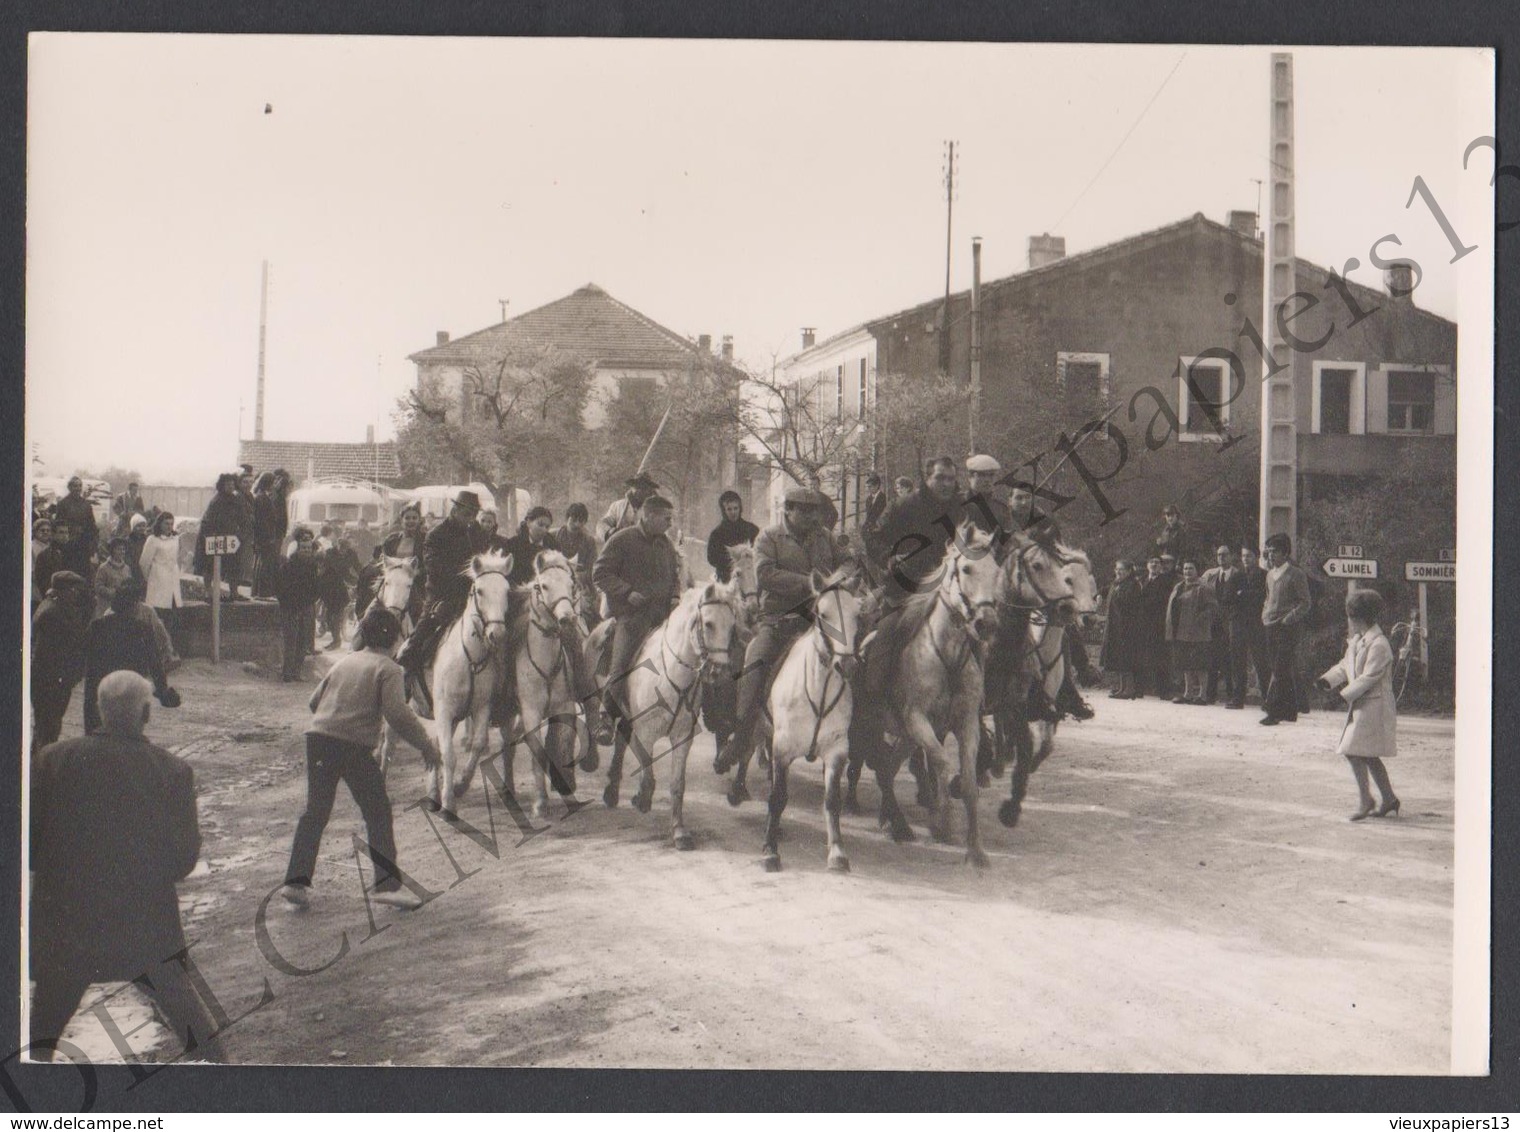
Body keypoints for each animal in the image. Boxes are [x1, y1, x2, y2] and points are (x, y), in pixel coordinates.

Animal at [419, 553, 513, 814]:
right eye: (479, 591)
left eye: (507, 591)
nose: (497, 635)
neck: (468, 657)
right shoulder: (443, 710)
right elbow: (448, 754)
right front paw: (448, 802)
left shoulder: (481, 708)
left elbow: (478, 744)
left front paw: (461, 784)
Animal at [504, 553, 586, 814]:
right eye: (543, 586)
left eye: (571, 585)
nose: (568, 618)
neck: (546, 664)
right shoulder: (531, 712)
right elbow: (537, 751)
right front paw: (540, 801)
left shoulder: (564, 707)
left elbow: (563, 741)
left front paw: (567, 789)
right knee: (508, 744)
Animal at [608, 583, 744, 850]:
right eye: (709, 624)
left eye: (732, 626)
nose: (721, 671)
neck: (671, 676)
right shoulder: (646, 733)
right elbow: (646, 766)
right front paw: (642, 798)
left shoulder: (683, 738)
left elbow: (677, 784)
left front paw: (679, 831)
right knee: (621, 740)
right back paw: (611, 792)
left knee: (622, 738)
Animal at [753, 565, 863, 875]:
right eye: (823, 614)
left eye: (856, 615)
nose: (846, 665)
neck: (819, 690)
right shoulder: (782, 747)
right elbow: (778, 797)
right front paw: (770, 852)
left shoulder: (837, 750)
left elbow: (832, 801)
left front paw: (837, 853)